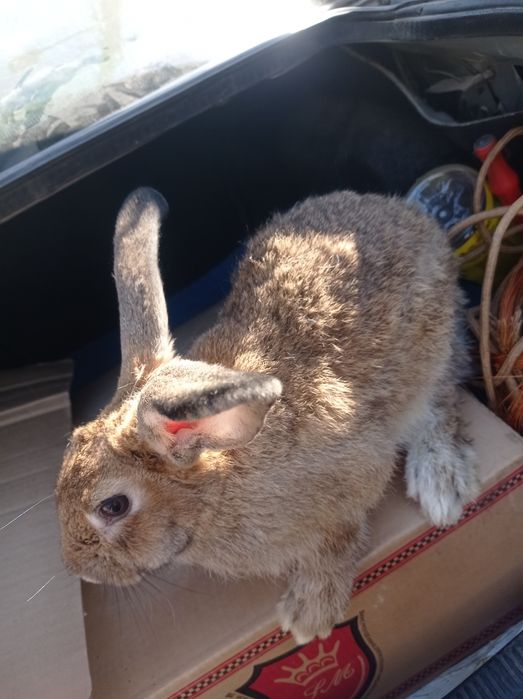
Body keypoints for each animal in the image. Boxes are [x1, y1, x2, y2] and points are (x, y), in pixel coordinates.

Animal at [56, 186, 477, 644]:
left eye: (113, 506)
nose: (82, 571)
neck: (218, 479)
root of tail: (409, 214)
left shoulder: (352, 482)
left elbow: (339, 541)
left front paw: (308, 615)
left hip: (429, 351)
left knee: (441, 400)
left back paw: (441, 488)